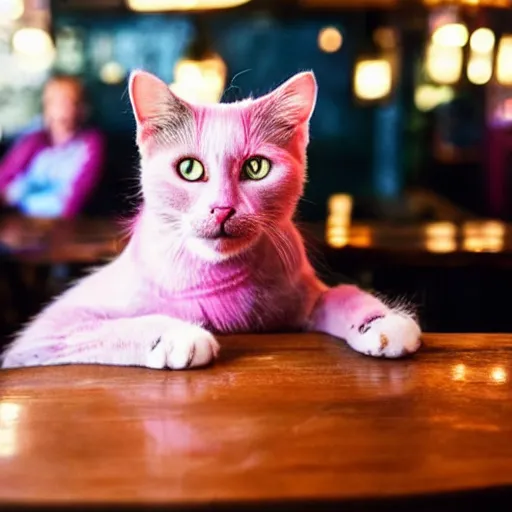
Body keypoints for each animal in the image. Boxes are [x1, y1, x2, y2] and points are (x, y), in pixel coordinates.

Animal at [1, 70, 420, 370]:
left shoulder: (306, 298)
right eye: (189, 169)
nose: (222, 208)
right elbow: (113, 325)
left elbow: (343, 293)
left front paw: (382, 321)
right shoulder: (43, 334)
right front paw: (176, 336)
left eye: (256, 167)